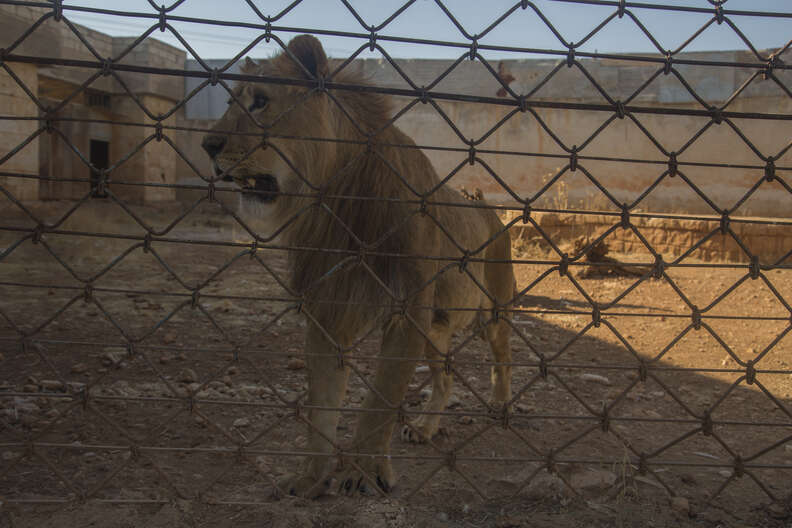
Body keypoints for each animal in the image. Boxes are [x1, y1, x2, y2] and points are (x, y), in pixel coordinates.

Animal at [202, 35, 515, 498]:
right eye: (229, 102)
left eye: (260, 101)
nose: (207, 146)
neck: (337, 204)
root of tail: (490, 213)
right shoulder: (328, 307)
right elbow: (322, 405)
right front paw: (311, 478)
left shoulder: (408, 310)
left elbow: (381, 399)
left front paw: (364, 472)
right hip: (436, 328)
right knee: (445, 378)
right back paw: (425, 427)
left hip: (492, 310)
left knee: (501, 358)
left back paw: (500, 404)